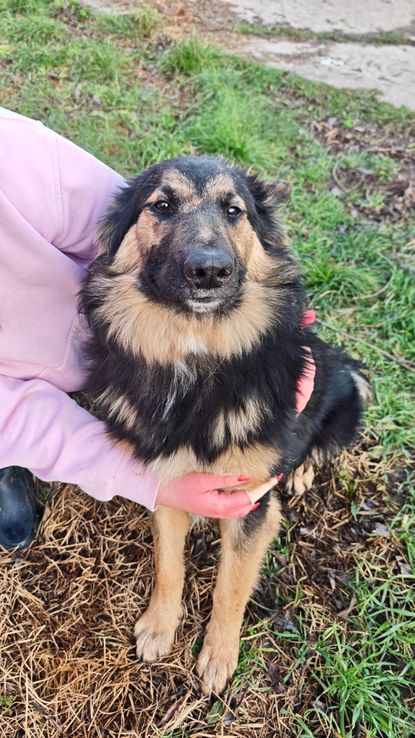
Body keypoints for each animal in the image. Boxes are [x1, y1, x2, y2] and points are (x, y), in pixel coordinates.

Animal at [80, 155, 370, 694]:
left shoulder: (253, 503)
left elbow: (230, 587)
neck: (196, 354)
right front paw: (159, 626)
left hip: (341, 404)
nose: (209, 270)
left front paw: (217, 656)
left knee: (321, 446)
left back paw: (301, 471)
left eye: (234, 210)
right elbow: (168, 564)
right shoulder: (167, 481)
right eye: (162, 206)